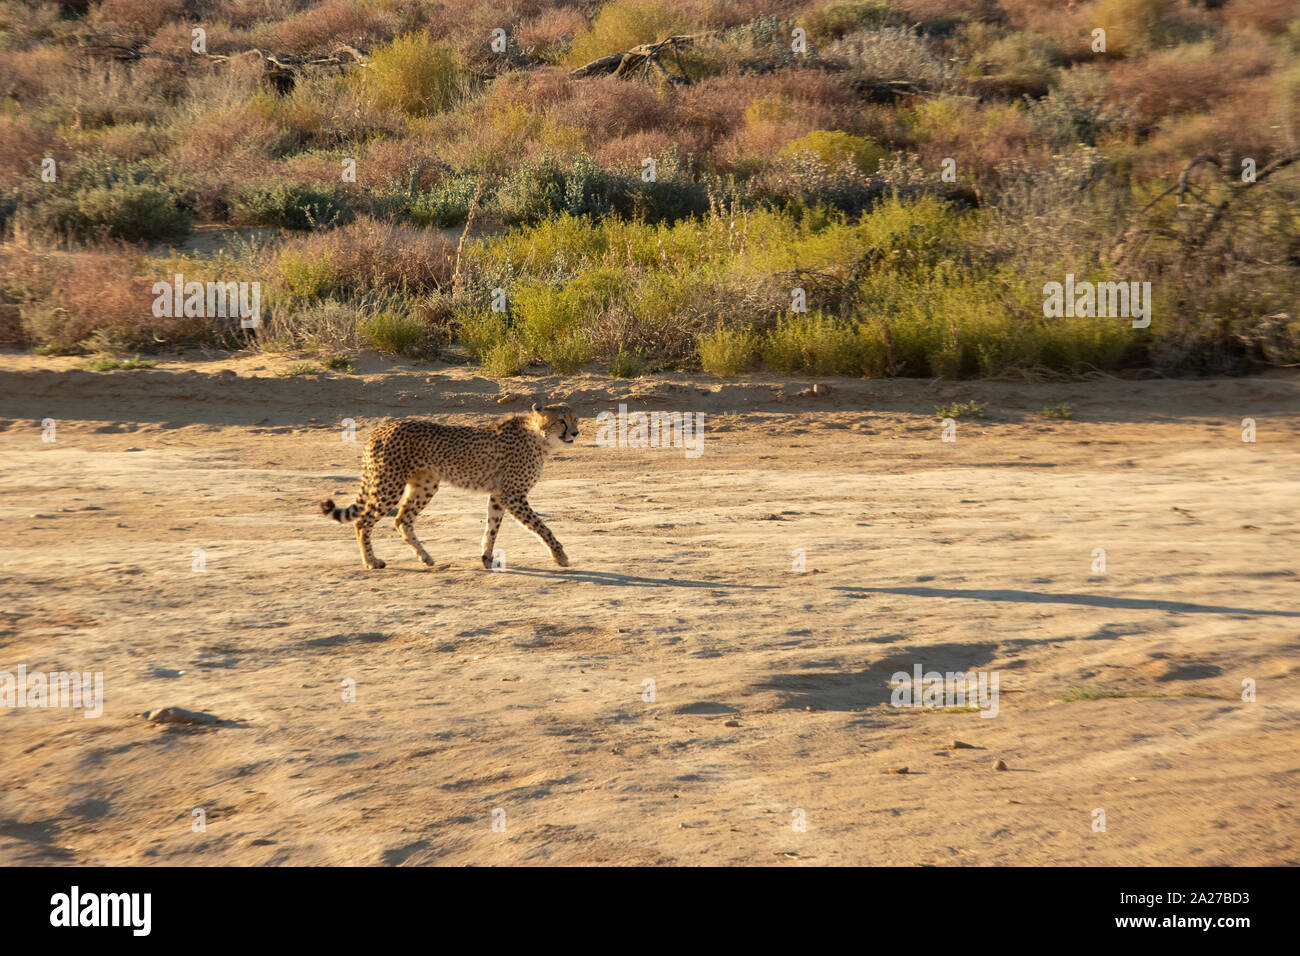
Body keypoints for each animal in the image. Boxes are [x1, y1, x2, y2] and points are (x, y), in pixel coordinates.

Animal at [319, 403, 579, 567]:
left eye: (575, 419)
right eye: (561, 421)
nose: (576, 433)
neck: (539, 437)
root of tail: (380, 429)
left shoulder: (498, 495)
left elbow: (492, 528)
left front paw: (486, 558)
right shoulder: (513, 495)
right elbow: (541, 527)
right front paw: (560, 556)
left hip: (425, 485)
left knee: (402, 519)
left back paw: (425, 558)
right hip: (389, 485)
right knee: (363, 521)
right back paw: (371, 562)